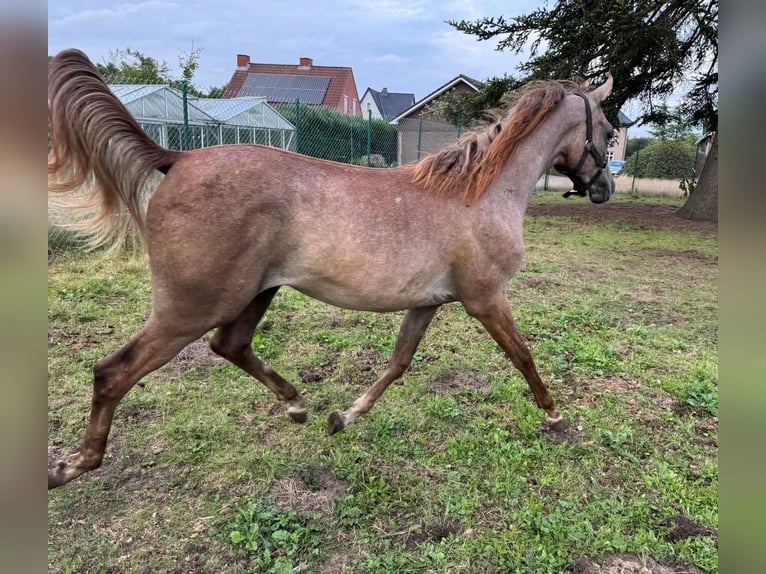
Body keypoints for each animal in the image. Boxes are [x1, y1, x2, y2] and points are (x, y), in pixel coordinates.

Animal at [47, 49, 616, 489]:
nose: (605, 189)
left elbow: (397, 364)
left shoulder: (427, 303)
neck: (478, 193)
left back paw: (298, 404)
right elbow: (523, 355)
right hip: (191, 307)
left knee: (230, 346)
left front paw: (342, 416)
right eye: (609, 129)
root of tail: (178, 159)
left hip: (254, 293)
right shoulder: (486, 298)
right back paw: (72, 466)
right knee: (113, 372)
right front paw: (556, 415)